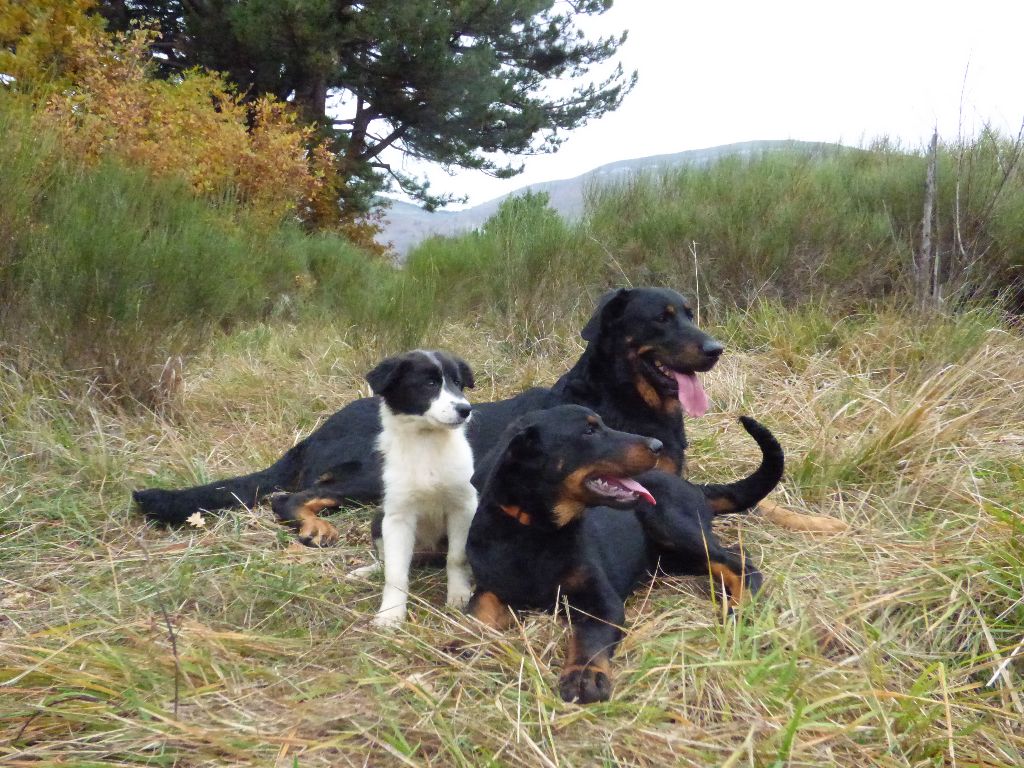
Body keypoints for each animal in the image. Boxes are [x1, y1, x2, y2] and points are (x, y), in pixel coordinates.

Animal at [134, 286, 729, 544]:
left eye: (691, 312)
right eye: (661, 318)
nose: (716, 349)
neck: (624, 398)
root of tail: (316, 431)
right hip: (374, 475)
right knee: (290, 497)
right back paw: (314, 526)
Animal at [350, 352, 477, 626]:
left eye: (457, 383)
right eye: (429, 384)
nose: (465, 410)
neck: (426, 441)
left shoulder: (464, 506)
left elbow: (457, 557)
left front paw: (459, 595)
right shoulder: (397, 517)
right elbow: (395, 573)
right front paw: (390, 614)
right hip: (378, 519)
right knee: (385, 560)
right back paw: (366, 571)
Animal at [466, 405, 782, 708]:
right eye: (589, 431)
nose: (657, 445)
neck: (536, 532)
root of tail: (695, 488)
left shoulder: (603, 602)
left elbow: (589, 637)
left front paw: (584, 676)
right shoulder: (492, 585)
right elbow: (476, 612)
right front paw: (464, 643)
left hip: (669, 520)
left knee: (740, 563)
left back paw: (740, 607)